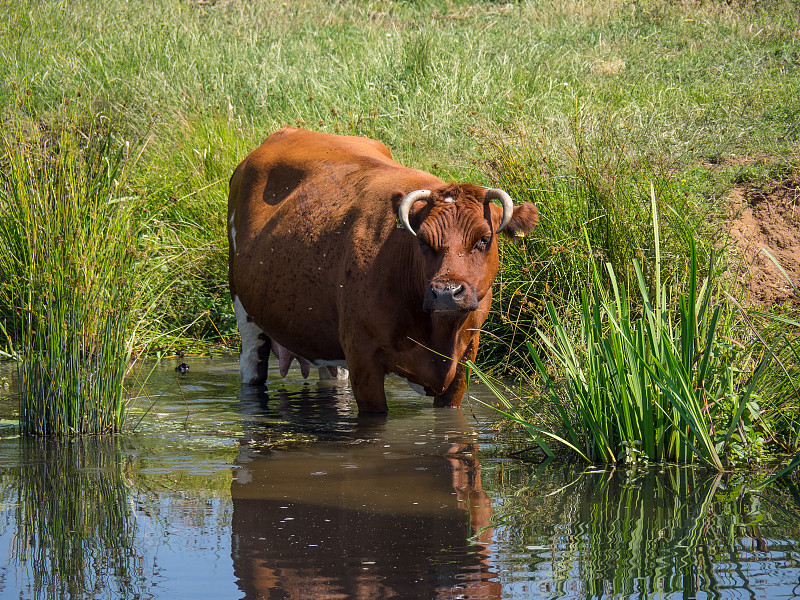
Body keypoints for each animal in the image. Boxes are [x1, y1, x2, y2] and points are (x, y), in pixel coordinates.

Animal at [227, 127, 536, 412]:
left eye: (484, 239)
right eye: (422, 240)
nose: (447, 293)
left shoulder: (465, 359)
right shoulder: (363, 358)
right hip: (245, 314)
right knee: (252, 365)